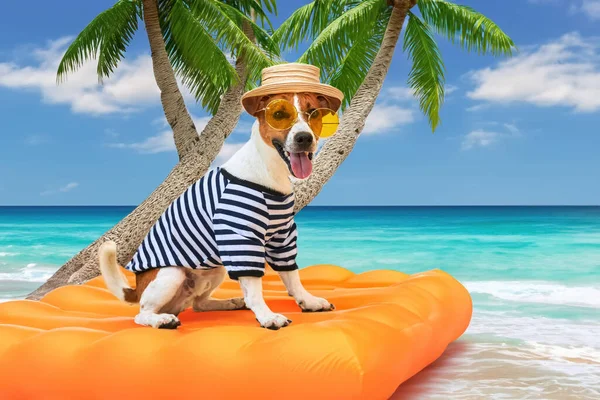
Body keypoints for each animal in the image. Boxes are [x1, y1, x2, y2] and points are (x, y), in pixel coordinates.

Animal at [98, 79, 342, 328]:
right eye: (279, 115)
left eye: (314, 113)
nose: (304, 138)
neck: (270, 171)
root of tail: (137, 288)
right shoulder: (240, 236)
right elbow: (255, 288)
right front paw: (267, 316)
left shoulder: (282, 236)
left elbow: (292, 276)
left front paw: (308, 301)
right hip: (171, 274)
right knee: (142, 313)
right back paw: (162, 320)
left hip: (216, 271)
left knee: (199, 304)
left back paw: (230, 302)